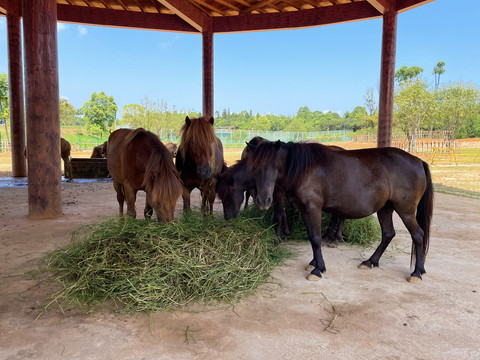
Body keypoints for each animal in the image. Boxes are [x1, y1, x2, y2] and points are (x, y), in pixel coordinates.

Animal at [249, 139, 434, 282]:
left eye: (275, 167)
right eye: (254, 168)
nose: (263, 200)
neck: (304, 169)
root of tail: (418, 161)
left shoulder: (313, 208)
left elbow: (316, 238)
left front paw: (318, 269)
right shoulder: (304, 210)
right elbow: (311, 236)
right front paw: (314, 263)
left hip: (406, 210)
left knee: (418, 235)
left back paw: (417, 273)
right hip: (385, 208)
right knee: (388, 234)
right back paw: (370, 262)